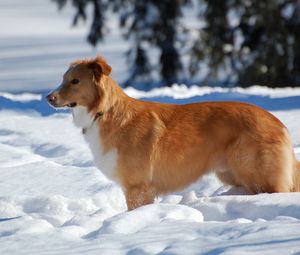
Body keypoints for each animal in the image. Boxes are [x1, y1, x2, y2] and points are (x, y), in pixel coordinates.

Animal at [47, 56, 300, 210]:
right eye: (63, 80)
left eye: (75, 81)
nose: (49, 98)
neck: (103, 112)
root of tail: (277, 122)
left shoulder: (138, 187)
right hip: (232, 173)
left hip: (255, 174)